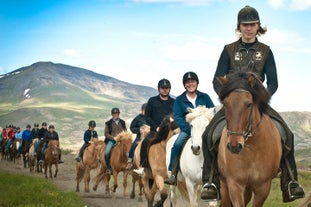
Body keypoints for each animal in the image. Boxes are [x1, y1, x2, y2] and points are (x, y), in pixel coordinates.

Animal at [217, 72, 282, 206]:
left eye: (249, 104)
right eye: (225, 104)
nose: (234, 146)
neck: (252, 150)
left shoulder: (263, 188)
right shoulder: (235, 185)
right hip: (224, 185)